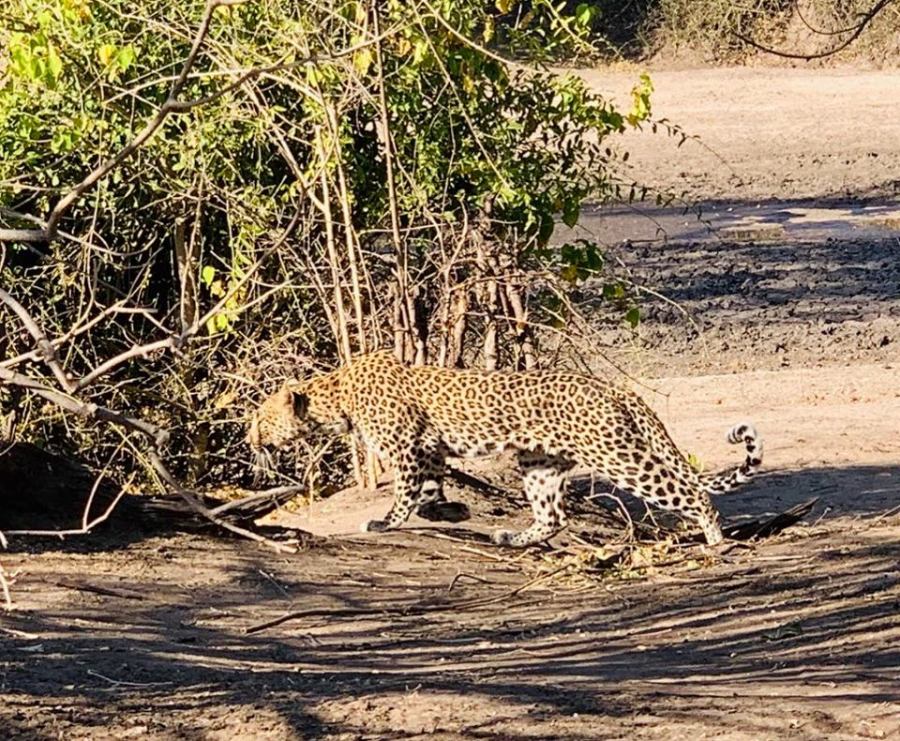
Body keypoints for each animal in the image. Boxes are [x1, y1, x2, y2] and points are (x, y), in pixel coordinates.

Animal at [250, 350, 764, 548]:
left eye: (259, 418)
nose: (249, 438)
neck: (335, 397)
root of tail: (614, 389)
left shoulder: (405, 451)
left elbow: (403, 494)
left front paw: (383, 522)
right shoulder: (429, 452)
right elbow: (432, 490)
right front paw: (451, 512)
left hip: (617, 456)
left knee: (691, 493)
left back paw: (715, 539)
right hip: (538, 463)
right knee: (553, 517)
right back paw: (512, 537)